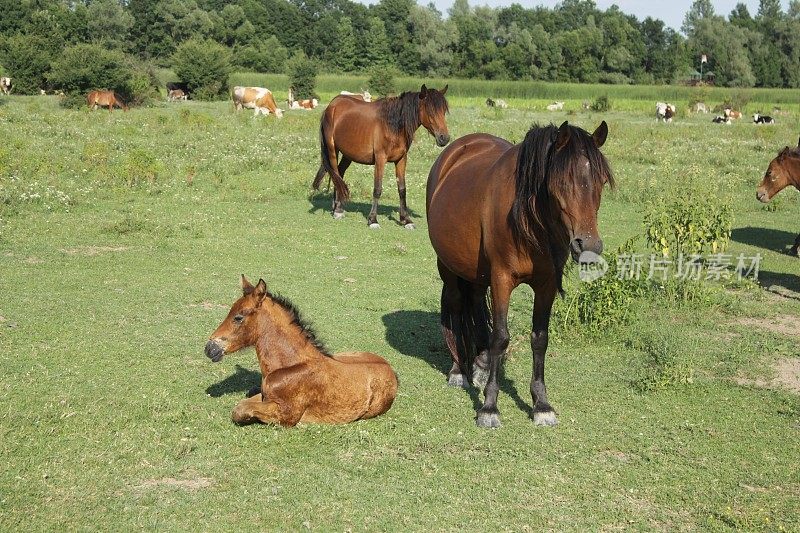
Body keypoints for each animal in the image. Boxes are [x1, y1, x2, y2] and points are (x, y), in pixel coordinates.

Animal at [203, 276, 396, 426]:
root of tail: (390, 368)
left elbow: (239, 410)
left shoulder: (286, 414)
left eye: (238, 317)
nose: (210, 348)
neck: (289, 365)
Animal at [312, 85, 450, 229]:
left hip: (348, 154)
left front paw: (406, 220)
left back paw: (337, 207)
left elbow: (402, 189)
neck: (392, 126)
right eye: (430, 111)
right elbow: (377, 189)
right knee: (336, 174)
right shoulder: (380, 159)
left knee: (340, 172)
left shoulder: (401, 160)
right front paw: (373, 220)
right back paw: (337, 211)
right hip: (333, 150)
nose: (444, 138)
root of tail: (332, 105)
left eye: (443, 111)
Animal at [424, 121, 612, 428]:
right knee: (455, 304)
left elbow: (540, 338)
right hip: (449, 266)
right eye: (562, 181)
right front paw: (489, 407)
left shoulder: (546, 285)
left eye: (602, 182)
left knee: (476, 302)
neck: (530, 221)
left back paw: (480, 363)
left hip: (477, 272)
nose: (589, 246)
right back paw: (458, 371)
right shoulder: (502, 279)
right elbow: (501, 337)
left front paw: (541, 404)